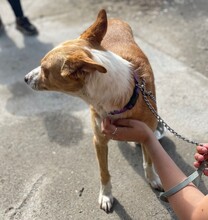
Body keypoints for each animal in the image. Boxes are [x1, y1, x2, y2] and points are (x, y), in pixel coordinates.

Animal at [24, 9, 162, 212]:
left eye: (44, 69)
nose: (25, 78)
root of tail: (113, 19)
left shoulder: (147, 133)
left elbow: (149, 160)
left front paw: (153, 178)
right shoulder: (99, 140)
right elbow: (104, 172)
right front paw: (106, 195)